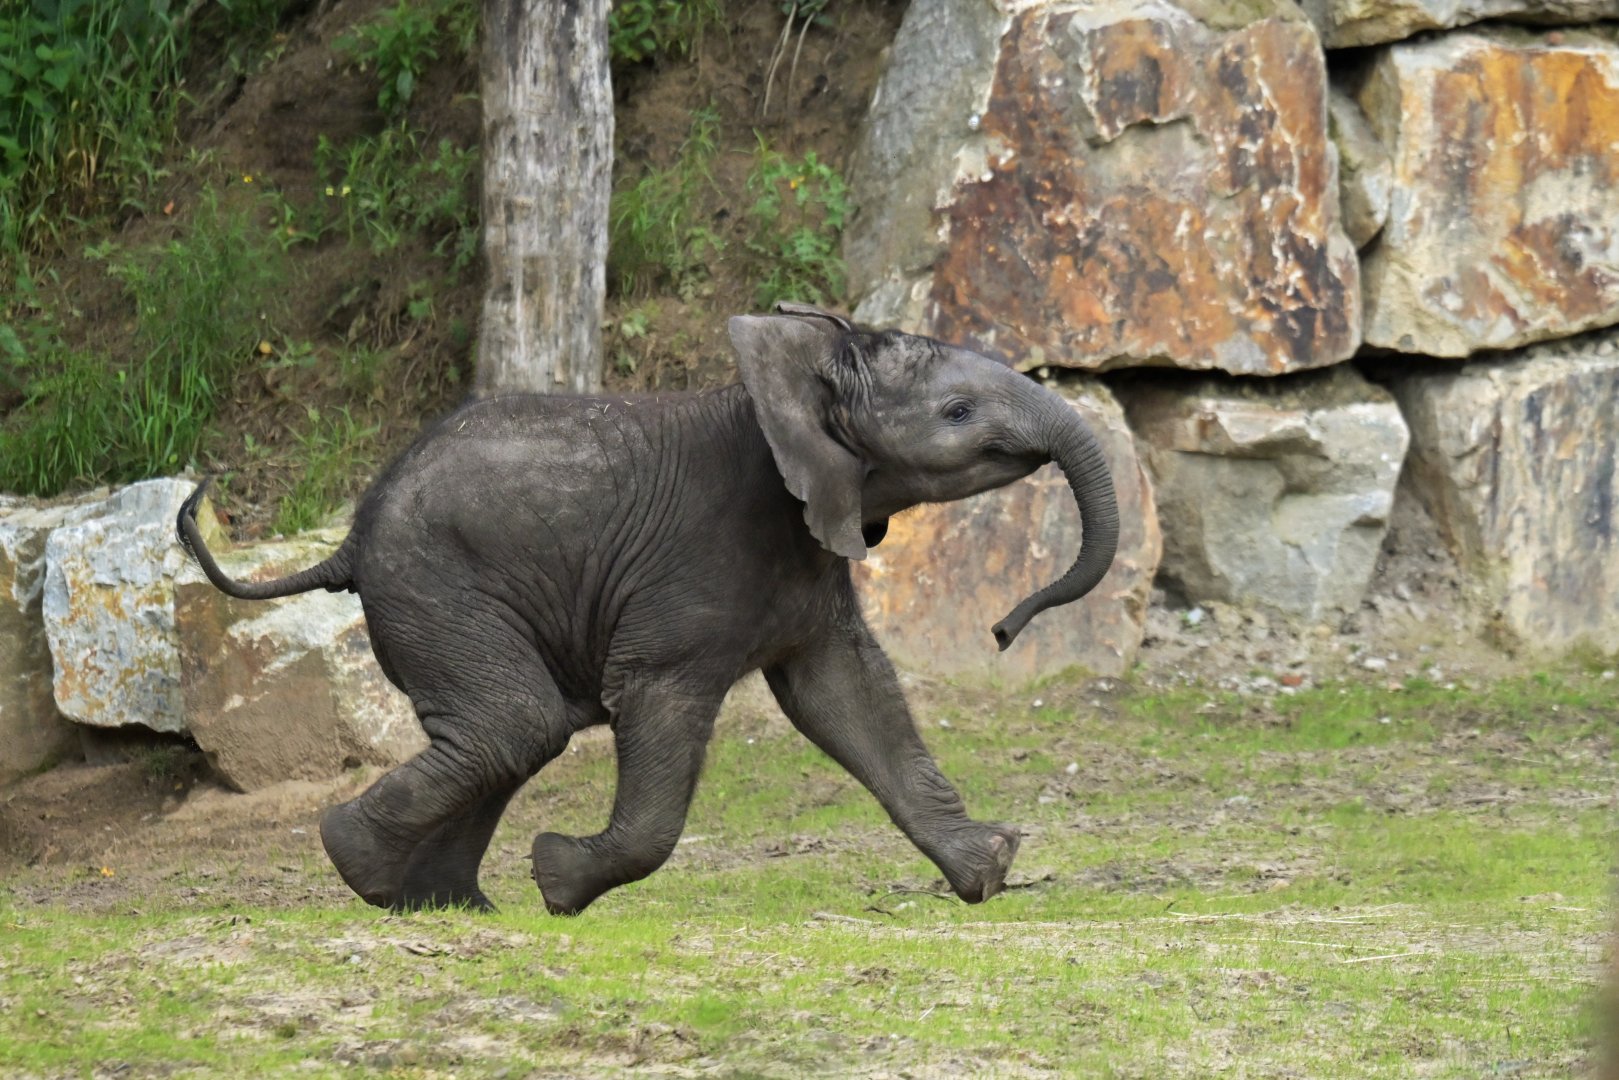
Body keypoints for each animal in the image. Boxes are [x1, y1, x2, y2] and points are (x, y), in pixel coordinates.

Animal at [177, 303, 1119, 915]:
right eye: (957, 412)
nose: (1000, 630)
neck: (784, 387)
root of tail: (351, 536)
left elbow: (847, 697)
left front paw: (989, 871)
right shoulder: (688, 582)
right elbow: (662, 704)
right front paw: (558, 880)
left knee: (510, 732)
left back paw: (442, 904)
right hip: (437, 586)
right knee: (513, 725)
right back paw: (365, 871)